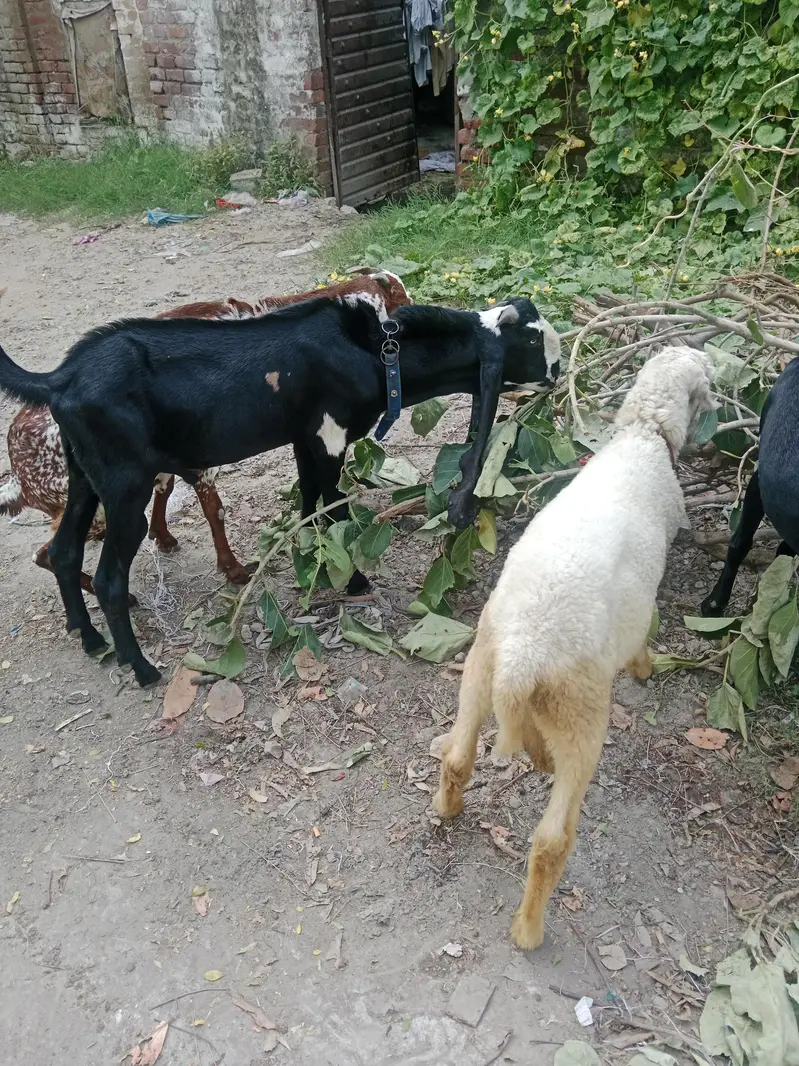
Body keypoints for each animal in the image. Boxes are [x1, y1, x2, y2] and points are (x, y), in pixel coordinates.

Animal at [0, 270, 411, 594]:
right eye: (400, 298)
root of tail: (17, 466)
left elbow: (173, 494)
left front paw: (167, 539)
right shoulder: (204, 465)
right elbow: (216, 512)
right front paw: (233, 570)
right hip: (96, 510)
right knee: (46, 554)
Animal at [433, 347, 714, 949]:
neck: (644, 436)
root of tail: (523, 658)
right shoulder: (643, 595)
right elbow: (645, 629)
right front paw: (645, 667)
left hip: (480, 670)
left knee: (460, 755)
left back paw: (450, 806)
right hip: (582, 710)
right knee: (551, 838)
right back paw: (528, 929)